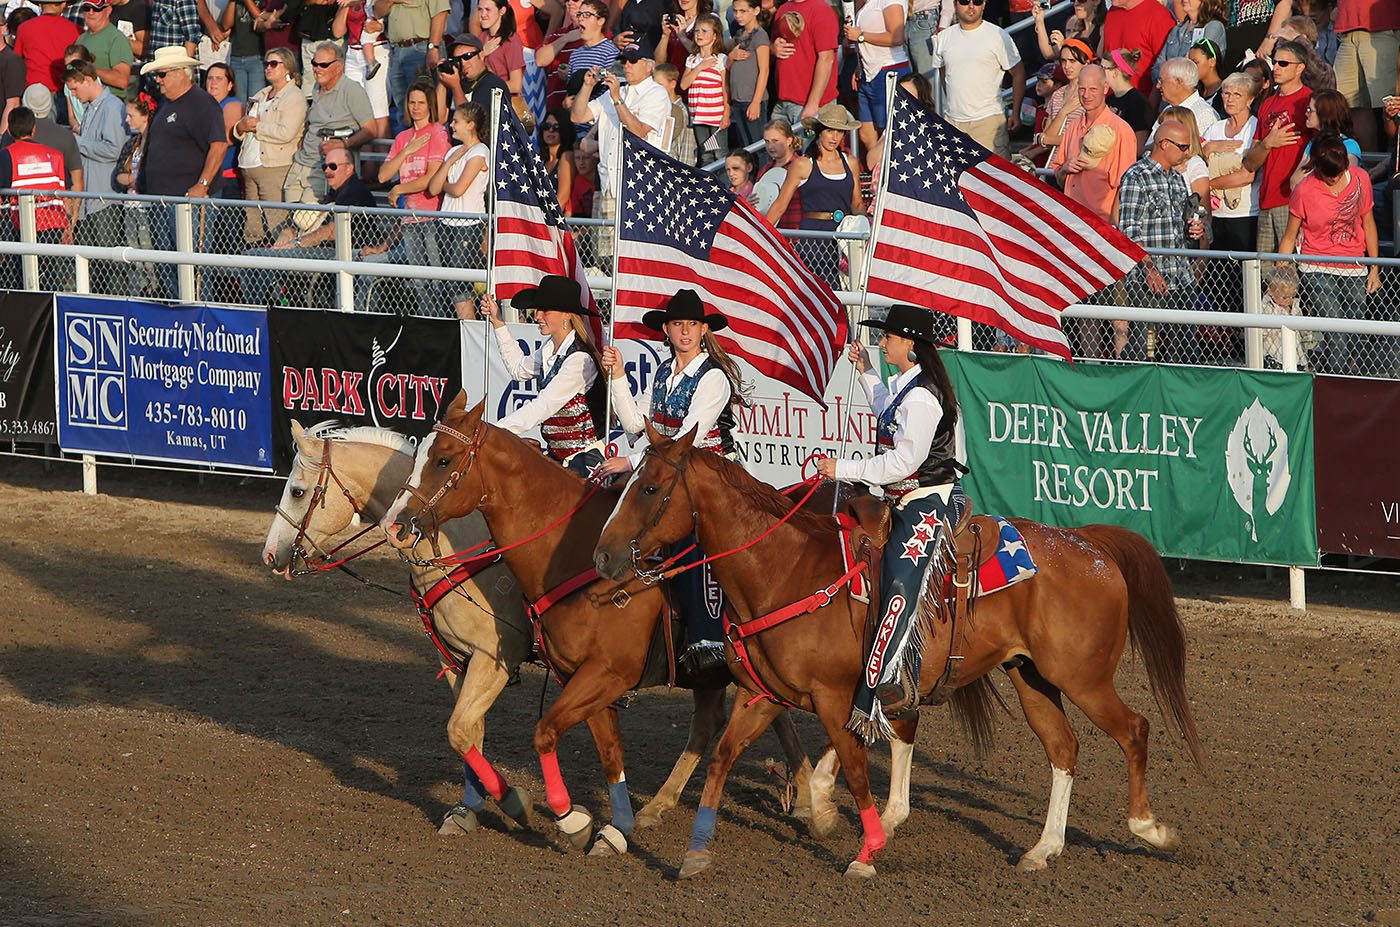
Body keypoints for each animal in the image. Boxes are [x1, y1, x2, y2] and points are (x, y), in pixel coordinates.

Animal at [383, 394, 817, 862]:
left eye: (443, 459)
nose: (394, 524)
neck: (574, 557)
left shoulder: (598, 672)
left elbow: (541, 732)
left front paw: (568, 819)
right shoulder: (574, 674)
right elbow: (605, 753)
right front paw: (616, 828)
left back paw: (819, 802)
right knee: (720, 722)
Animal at [590, 425, 1204, 884]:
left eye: (650, 490)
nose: (603, 555)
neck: (785, 568)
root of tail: (1089, 544)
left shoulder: (833, 695)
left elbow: (858, 767)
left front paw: (863, 850)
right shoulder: (765, 694)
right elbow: (721, 757)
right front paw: (697, 852)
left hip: (1083, 677)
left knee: (1134, 730)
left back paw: (1150, 829)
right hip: (1031, 677)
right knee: (1063, 747)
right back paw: (1043, 847)